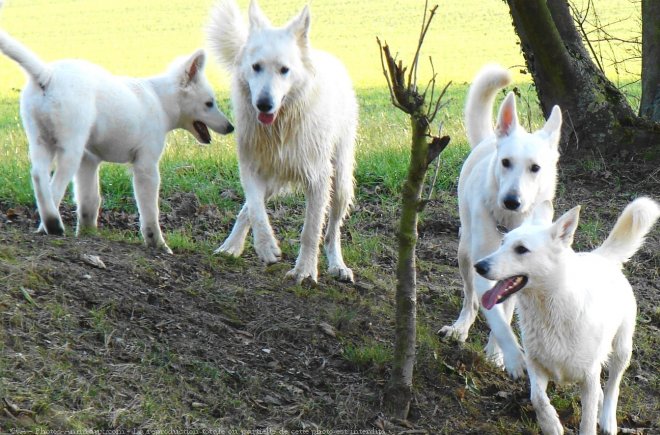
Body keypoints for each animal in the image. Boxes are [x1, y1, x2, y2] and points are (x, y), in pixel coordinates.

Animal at [0, 5, 233, 254]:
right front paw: (157, 243)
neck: (160, 101)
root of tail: (47, 75)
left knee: (38, 177)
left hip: (40, 141)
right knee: (54, 188)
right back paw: (52, 224)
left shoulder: (89, 161)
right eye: (209, 103)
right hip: (69, 149)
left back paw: (48, 223)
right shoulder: (145, 165)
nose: (231, 127)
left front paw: (88, 233)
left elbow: (89, 201)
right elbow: (149, 210)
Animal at [209, 0, 358, 284]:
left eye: (284, 70)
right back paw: (231, 246)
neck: (280, 126)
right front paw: (266, 247)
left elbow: (311, 231)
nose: (264, 104)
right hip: (273, 177)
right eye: (256, 67)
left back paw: (338, 265)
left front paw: (305, 271)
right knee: (246, 209)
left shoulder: (319, 179)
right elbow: (256, 210)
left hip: (340, 180)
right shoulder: (251, 168)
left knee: (333, 229)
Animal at [438, 63, 564, 380]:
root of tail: (488, 141)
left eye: (535, 168)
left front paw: (496, 355)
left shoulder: (515, 273)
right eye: (506, 162)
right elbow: (495, 316)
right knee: (470, 299)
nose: (511, 200)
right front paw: (510, 356)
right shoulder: (484, 266)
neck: (510, 220)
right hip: (464, 253)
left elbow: (503, 315)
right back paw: (460, 327)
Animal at [472, 198, 656, 435]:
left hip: (622, 348)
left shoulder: (589, 376)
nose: (479, 266)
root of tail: (600, 256)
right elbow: (537, 398)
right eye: (502, 242)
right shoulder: (535, 364)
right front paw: (551, 424)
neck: (551, 310)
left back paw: (608, 419)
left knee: (612, 385)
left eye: (521, 249)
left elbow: (587, 421)